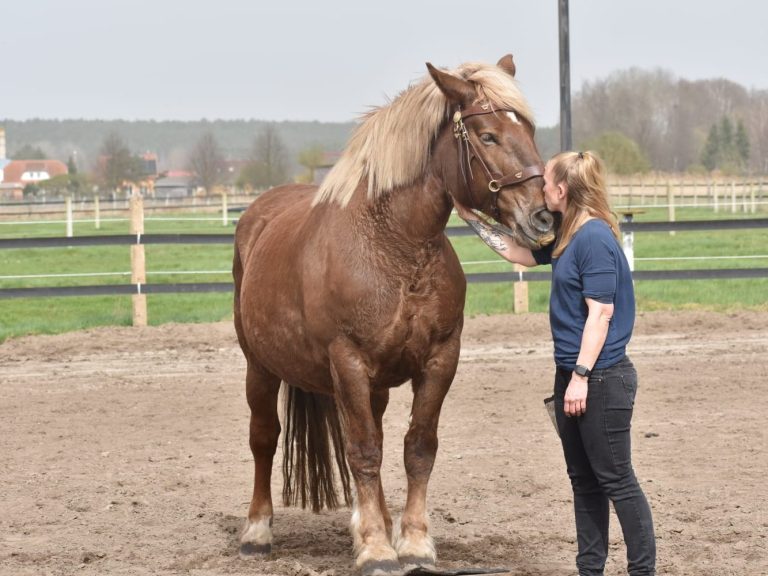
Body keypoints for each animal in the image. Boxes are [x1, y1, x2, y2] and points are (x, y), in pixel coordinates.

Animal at [232, 54, 555, 576]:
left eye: (527, 129)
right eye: (487, 136)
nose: (545, 216)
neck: (397, 248)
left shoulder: (440, 360)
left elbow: (417, 448)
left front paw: (413, 542)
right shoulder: (347, 363)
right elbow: (363, 452)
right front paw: (377, 550)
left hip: (375, 386)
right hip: (259, 367)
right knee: (265, 438)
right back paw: (257, 532)